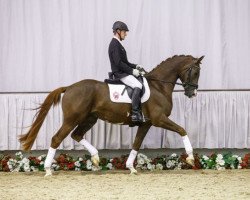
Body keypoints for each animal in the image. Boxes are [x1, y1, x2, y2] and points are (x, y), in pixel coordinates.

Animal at [19, 54, 203, 175]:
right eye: (195, 72)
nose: (192, 94)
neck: (158, 86)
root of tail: (69, 87)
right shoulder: (159, 119)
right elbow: (182, 130)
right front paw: (190, 158)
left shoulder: (146, 123)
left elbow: (137, 143)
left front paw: (131, 167)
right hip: (72, 119)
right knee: (57, 138)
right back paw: (48, 170)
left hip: (90, 118)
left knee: (76, 135)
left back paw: (95, 158)